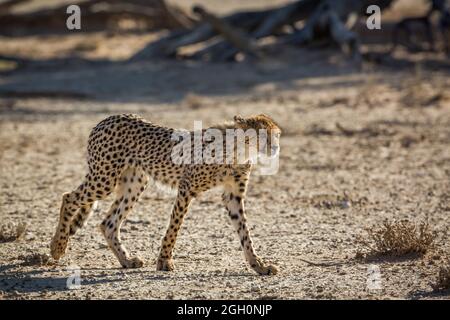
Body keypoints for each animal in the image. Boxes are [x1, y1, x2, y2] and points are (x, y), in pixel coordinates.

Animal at [50, 113, 282, 276]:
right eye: (263, 135)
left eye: (277, 135)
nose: (276, 147)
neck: (239, 150)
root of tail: (107, 119)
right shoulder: (186, 187)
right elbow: (174, 226)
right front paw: (164, 261)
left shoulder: (233, 196)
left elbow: (244, 232)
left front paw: (259, 265)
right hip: (105, 179)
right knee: (68, 197)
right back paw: (57, 247)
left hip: (135, 182)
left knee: (108, 223)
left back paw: (127, 261)